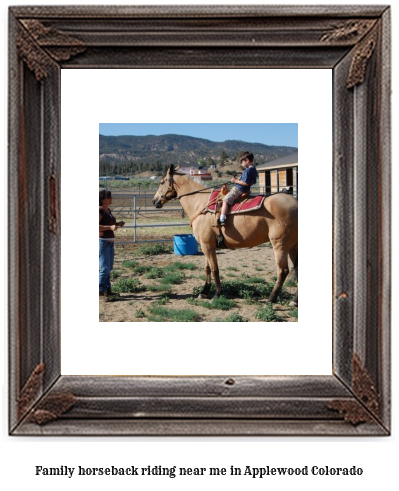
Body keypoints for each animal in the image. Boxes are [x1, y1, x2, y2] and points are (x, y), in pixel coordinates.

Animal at [153, 165, 300, 304]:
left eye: (161, 182)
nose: (154, 201)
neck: (201, 203)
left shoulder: (207, 245)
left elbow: (215, 269)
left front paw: (217, 294)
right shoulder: (207, 245)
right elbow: (207, 268)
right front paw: (204, 292)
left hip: (280, 245)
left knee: (283, 271)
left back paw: (271, 299)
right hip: (293, 246)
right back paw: (294, 301)